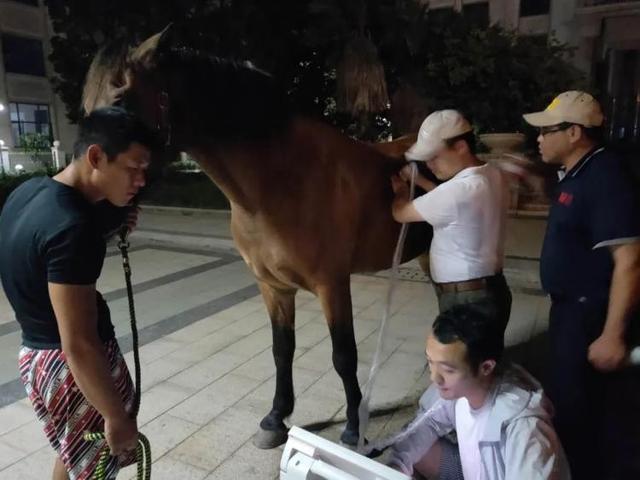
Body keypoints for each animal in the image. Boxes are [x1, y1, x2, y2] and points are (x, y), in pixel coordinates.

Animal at [82, 27, 433, 449]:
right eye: (86, 107)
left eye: (120, 100)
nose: (92, 207)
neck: (280, 183)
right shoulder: (272, 286)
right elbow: (282, 350)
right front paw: (276, 419)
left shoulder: (332, 284)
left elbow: (343, 355)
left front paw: (352, 427)